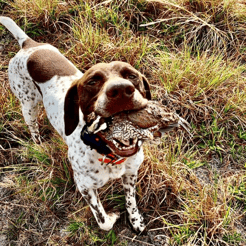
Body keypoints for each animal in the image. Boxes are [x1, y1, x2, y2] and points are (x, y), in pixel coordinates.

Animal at [0, 16, 151, 232]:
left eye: (132, 75)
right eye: (92, 81)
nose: (121, 90)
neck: (107, 154)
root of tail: (28, 44)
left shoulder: (130, 174)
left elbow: (131, 201)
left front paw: (136, 220)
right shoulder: (85, 187)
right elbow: (104, 222)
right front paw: (113, 216)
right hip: (27, 105)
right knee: (33, 128)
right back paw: (39, 145)